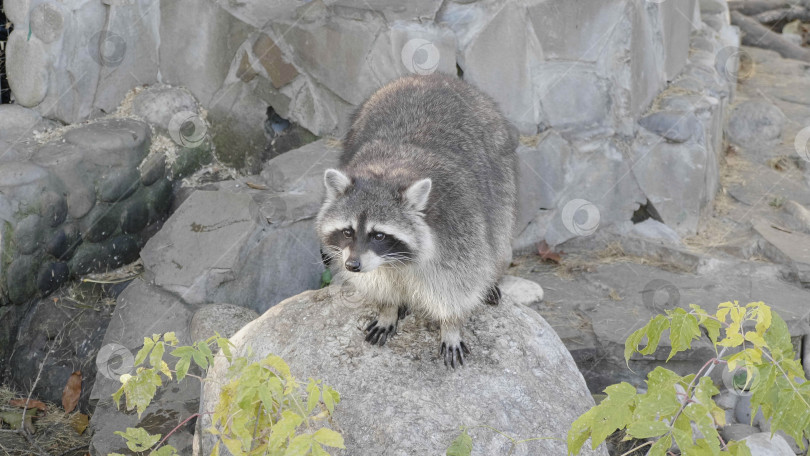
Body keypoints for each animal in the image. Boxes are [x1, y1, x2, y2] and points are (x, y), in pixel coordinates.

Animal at [312, 74, 516, 366]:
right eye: (348, 231)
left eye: (379, 235)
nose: (352, 265)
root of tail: (432, 76)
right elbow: (378, 283)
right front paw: (388, 308)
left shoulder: (460, 229)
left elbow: (459, 286)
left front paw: (451, 325)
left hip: (501, 173)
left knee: (498, 233)